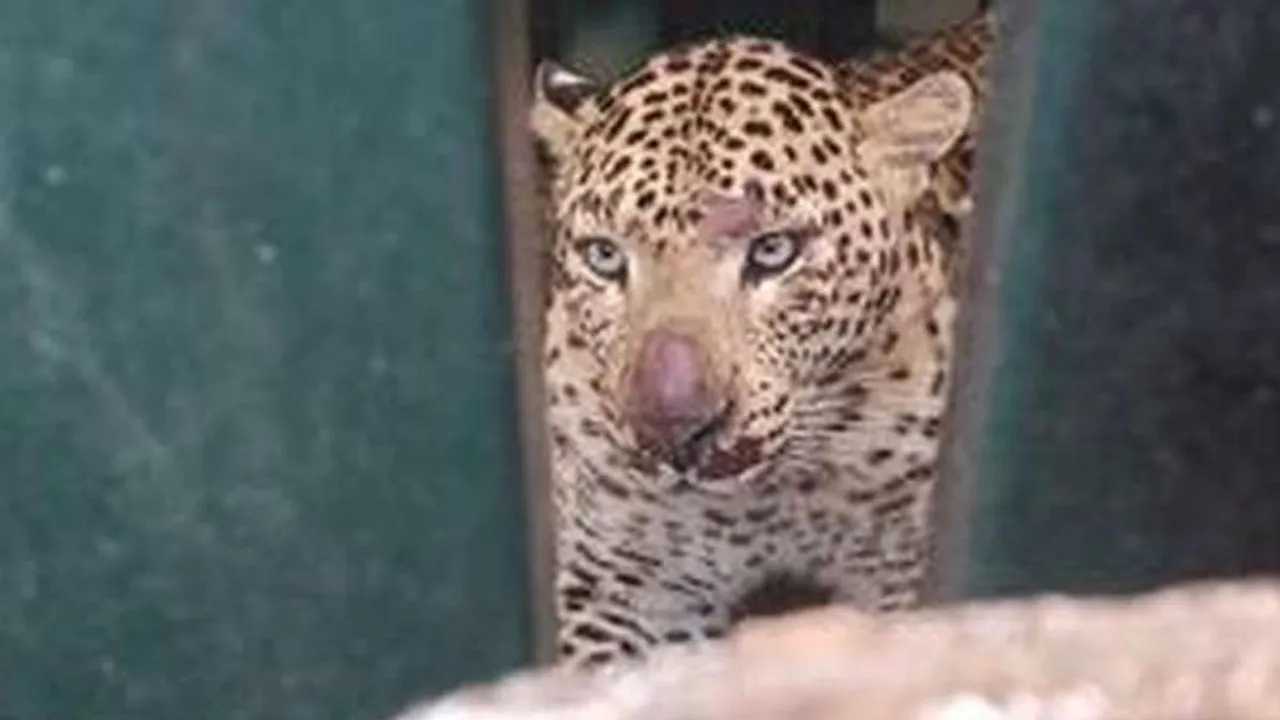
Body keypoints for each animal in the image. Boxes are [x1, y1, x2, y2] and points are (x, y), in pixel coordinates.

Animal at [529, 9, 996, 670]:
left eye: (774, 251)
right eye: (604, 257)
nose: (673, 429)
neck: (768, 502)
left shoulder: (901, 569)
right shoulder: (625, 588)